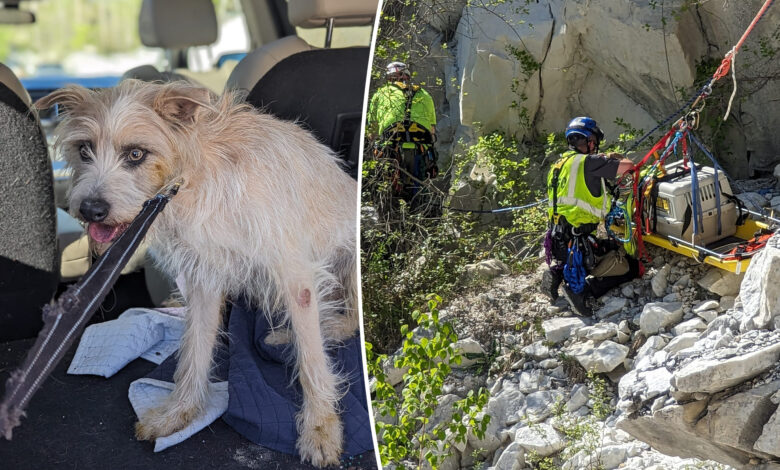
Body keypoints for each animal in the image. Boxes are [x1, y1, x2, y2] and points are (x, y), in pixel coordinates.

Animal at [38, 81, 360, 466]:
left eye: (136, 154)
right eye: (84, 150)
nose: (90, 210)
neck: (197, 175)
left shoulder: (295, 275)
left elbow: (312, 359)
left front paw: (321, 428)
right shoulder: (205, 276)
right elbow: (195, 348)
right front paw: (180, 412)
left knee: (347, 322)